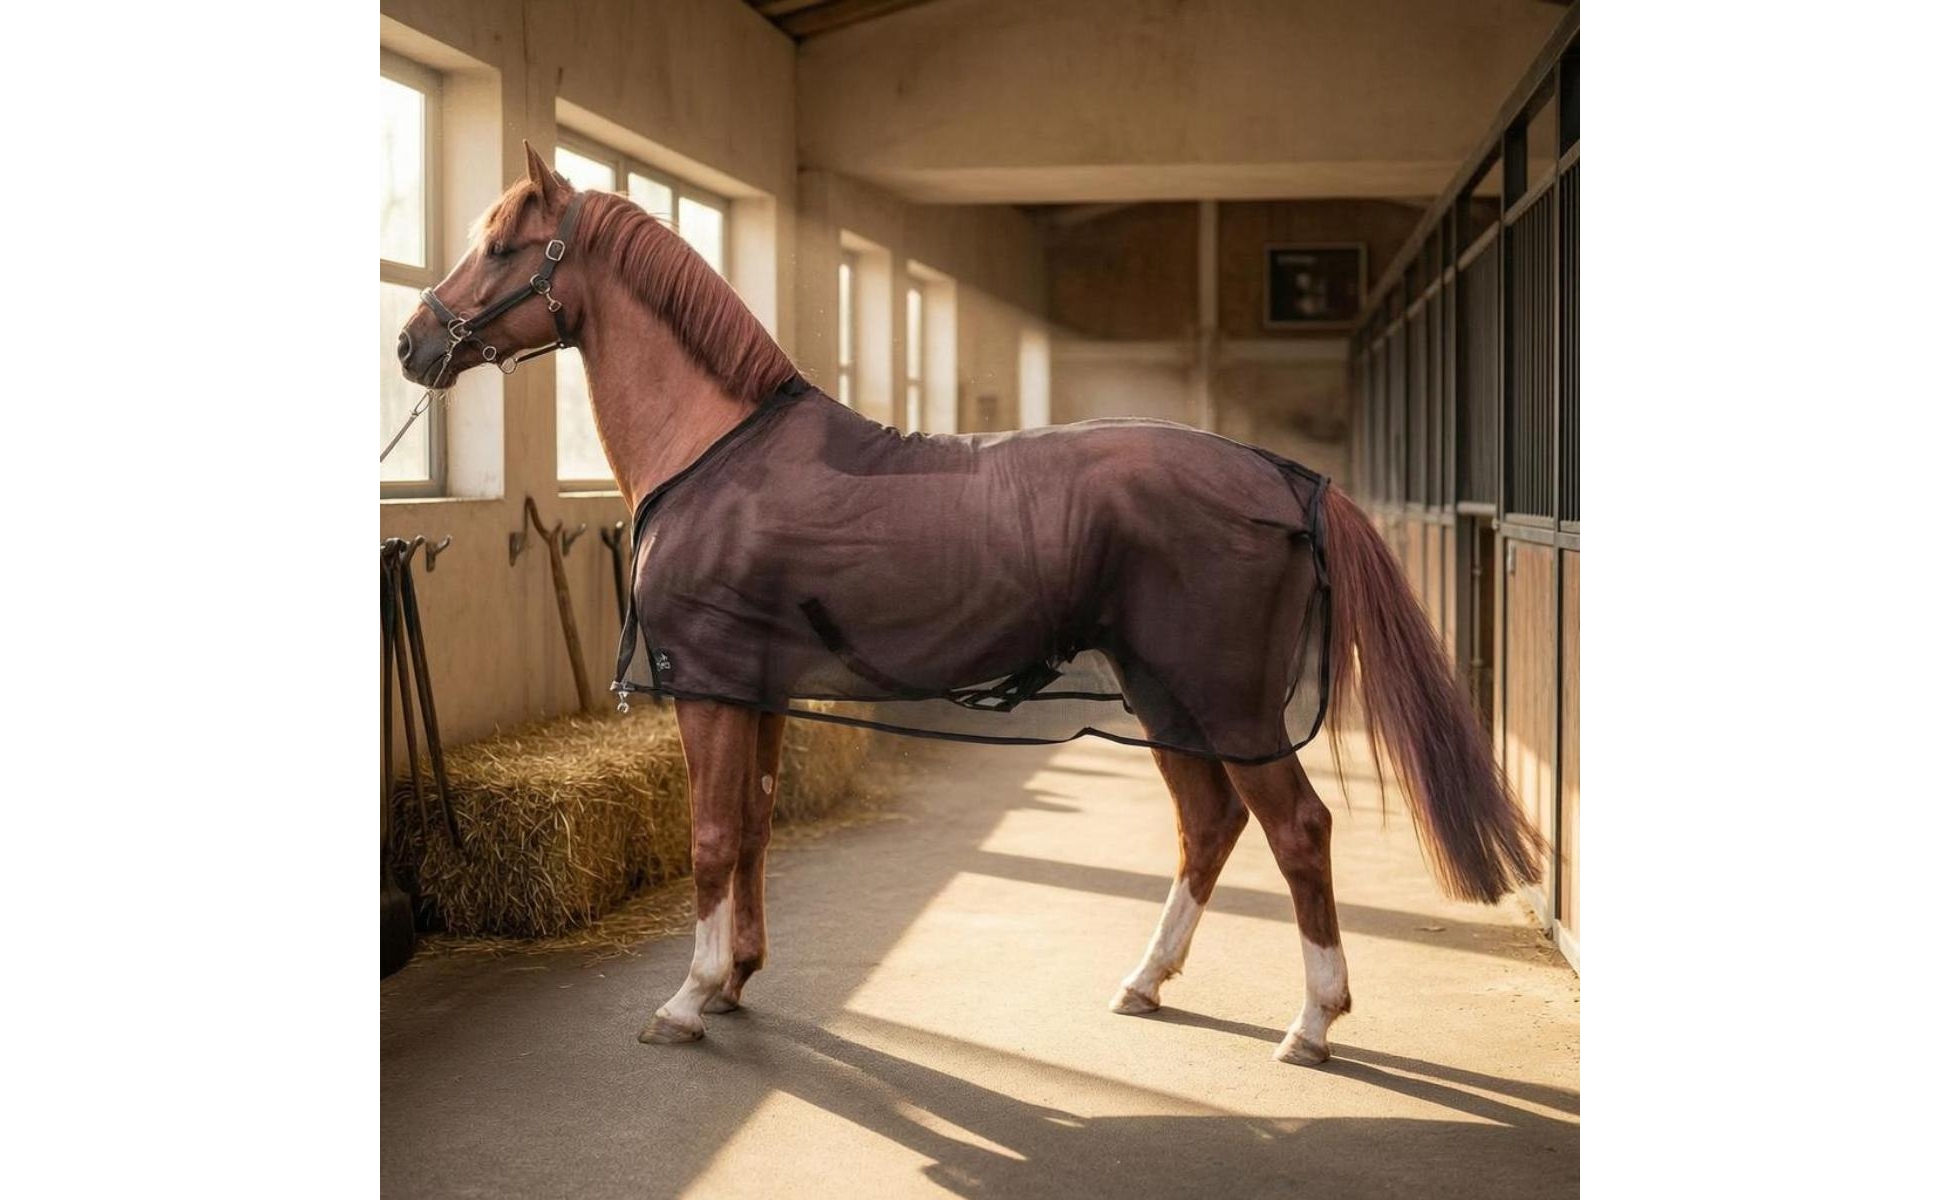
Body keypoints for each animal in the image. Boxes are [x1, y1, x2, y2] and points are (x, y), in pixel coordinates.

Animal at [395, 144, 1543, 1066]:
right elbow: (756, 827)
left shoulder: (710, 688)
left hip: (1228, 702)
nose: (413, 344)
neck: (716, 452)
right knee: (1208, 823)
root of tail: (1279, 475)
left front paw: (686, 998)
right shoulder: (756, 691)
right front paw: (735, 980)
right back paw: (1145, 981)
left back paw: (1309, 1023)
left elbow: (713, 836)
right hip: (1161, 693)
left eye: (504, 246)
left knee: (1295, 829)